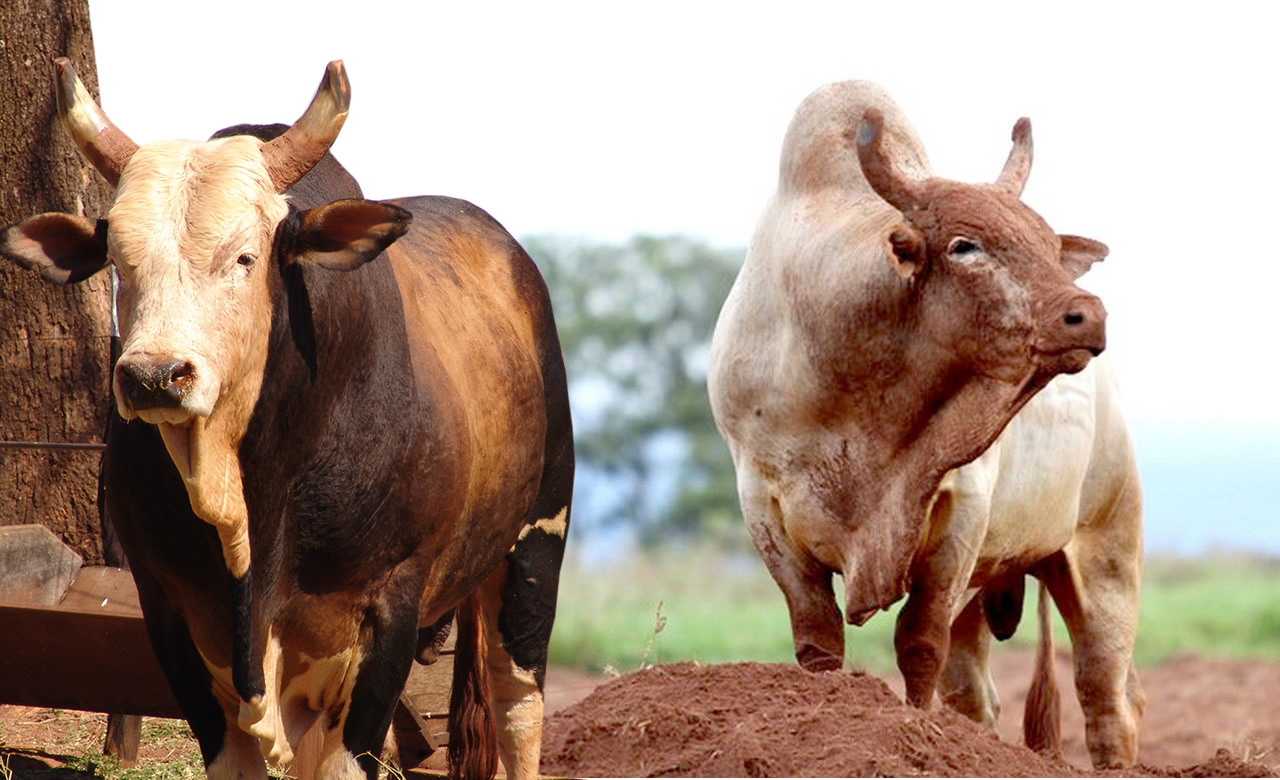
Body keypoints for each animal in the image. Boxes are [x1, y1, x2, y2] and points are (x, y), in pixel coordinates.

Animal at [0, 59, 570, 778]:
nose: (154, 375)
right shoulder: (171, 613)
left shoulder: (388, 613)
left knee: (519, 705)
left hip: (536, 546)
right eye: (120, 263)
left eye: (246, 257)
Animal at [711, 80, 1141, 768]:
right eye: (965, 244)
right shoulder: (764, 505)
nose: (1086, 314)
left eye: (1050, 245)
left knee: (1107, 701)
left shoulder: (959, 509)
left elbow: (918, 644)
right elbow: (817, 642)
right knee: (977, 697)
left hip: (1105, 551)